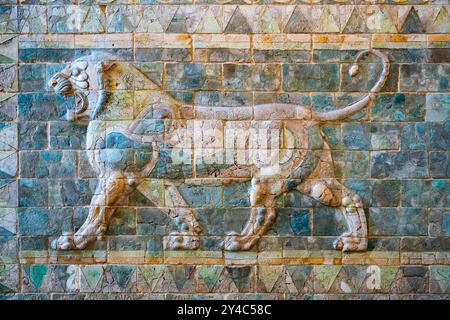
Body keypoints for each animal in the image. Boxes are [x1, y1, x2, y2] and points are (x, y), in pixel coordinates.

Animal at [47, 48, 388, 252]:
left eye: (76, 71)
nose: (51, 81)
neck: (115, 106)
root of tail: (308, 113)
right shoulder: (151, 180)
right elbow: (177, 208)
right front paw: (188, 239)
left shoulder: (116, 175)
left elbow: (96, 208)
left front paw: (76, 240)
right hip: (314, 178)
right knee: (350, 198)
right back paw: (356, 243)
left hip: (269, 178)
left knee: (265, 212)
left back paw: (240, 243)